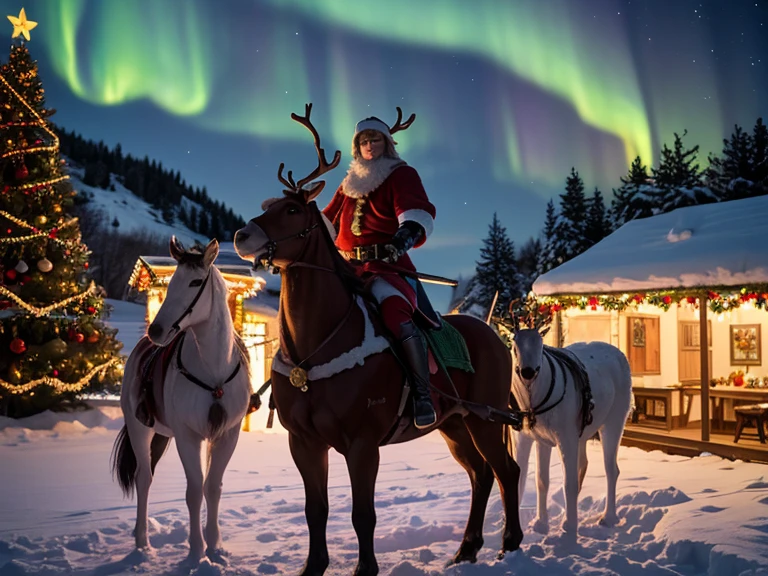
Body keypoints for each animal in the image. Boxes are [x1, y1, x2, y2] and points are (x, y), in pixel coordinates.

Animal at [112, 236, 249, 564]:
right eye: (172, 280)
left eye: (196, 281)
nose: (156, 330)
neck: (214, 369)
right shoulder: (189, 436)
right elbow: (194, 491)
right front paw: (196, 550)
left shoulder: (226, 435)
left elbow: (212, 487)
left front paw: (214, 546)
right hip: (140, 429)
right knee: (143, 478)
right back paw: (142, 542)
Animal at [236, 104, 520, 576]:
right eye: (268, 204)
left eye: (292, 209)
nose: (242, 236)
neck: (316, 344)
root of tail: (494, 335)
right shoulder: (304, 442)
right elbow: (317, 510)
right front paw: (313, 566)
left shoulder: (363, 443)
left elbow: (362, 514)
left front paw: (365, 568)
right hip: (454, 423)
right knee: (480, 474)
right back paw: (467, 548)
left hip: (484, 419)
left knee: (506, 471)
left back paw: (511, 544)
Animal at [508, 322, 632, 544]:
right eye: (514, 346)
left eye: (541, 344)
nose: (527, 372)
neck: (533, 402)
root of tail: (618, 353)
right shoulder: (530, 439)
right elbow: (538, 480)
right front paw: (540, 524)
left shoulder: (565, 438)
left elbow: (569, 483)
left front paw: (570, 531)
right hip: (580, 434)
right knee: (582, 465)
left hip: (613, 422)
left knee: (611, 470)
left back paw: (608, 518)